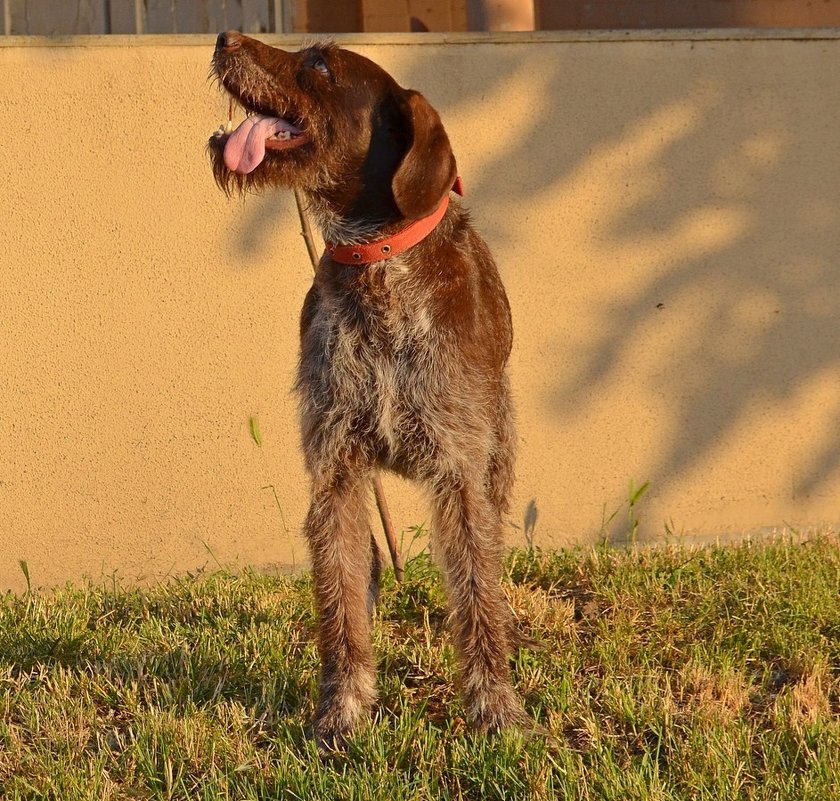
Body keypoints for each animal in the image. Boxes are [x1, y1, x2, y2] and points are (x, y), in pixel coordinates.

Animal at [208, 29, 524, 744]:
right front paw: (342, 712)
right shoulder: (336, 472)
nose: (223, 36)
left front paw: (494, 710)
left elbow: (477, 596)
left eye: (321, 64)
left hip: (497, 454)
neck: (376, 265)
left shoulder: (460, 473)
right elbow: (341, 605)